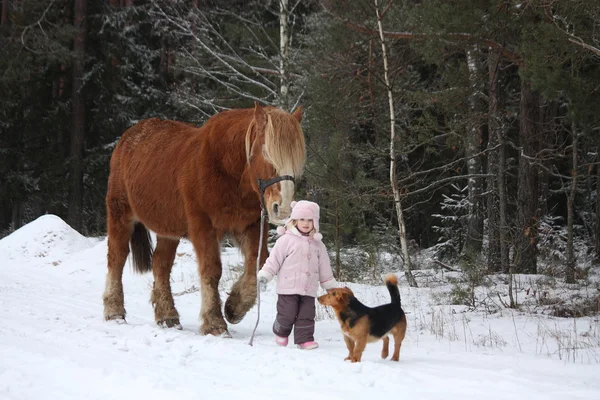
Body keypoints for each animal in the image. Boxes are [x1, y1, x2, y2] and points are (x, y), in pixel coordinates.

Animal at [102, 101, 304, 336]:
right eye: (266, 152)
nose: (283, 209)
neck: (225, 168)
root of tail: (128, 137)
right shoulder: (203, 226)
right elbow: (211, 270)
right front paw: (214, 323)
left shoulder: (250, 225)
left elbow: (258, 263)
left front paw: (234, 307)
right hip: (120, 213)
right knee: (117, 257)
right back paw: (114, 311)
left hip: (167, 229)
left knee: (160, 263)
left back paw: (167, 316)